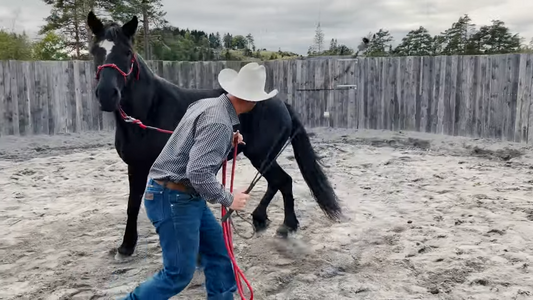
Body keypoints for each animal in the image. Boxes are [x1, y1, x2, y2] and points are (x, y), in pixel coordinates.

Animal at [84, 11, 340, 258]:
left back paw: (283, 225)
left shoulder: (143, 167)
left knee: (282, 181)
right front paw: (127, 246)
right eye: (95, 51)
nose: (107, 94)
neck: (150, 111)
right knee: (278, 182)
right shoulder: (135, 166)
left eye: (127, 52)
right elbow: (134, 204)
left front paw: (127, 247)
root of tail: (281, 103)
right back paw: (266, 221)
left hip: (262, 155)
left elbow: (135, 204)